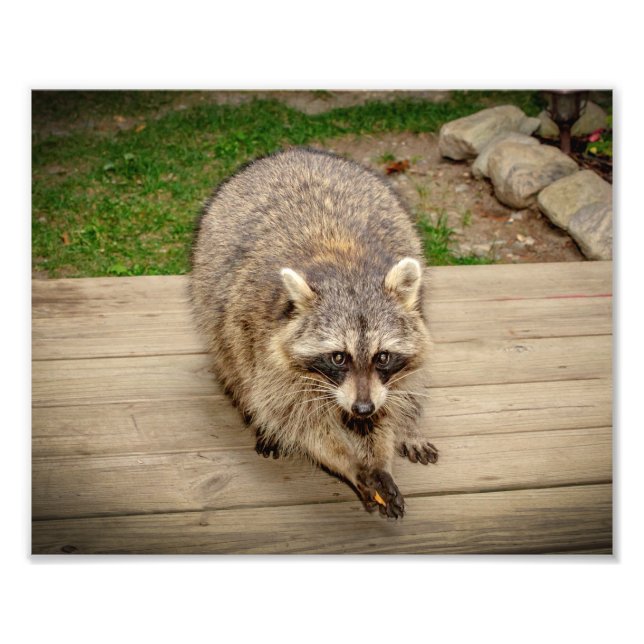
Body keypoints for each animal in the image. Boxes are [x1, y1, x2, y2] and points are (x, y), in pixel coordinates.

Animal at [191, 147, 438, 519]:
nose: (362, 409)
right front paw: (350, 463)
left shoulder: (387, 376)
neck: (346, 266)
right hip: (215, 304)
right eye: (338, 357)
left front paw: (382, 453)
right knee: (233, 365)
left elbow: (390, 404)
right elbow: (297, 419)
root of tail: (294, 152)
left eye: (382, 356)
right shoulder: (264, 344)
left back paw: (409, 427)